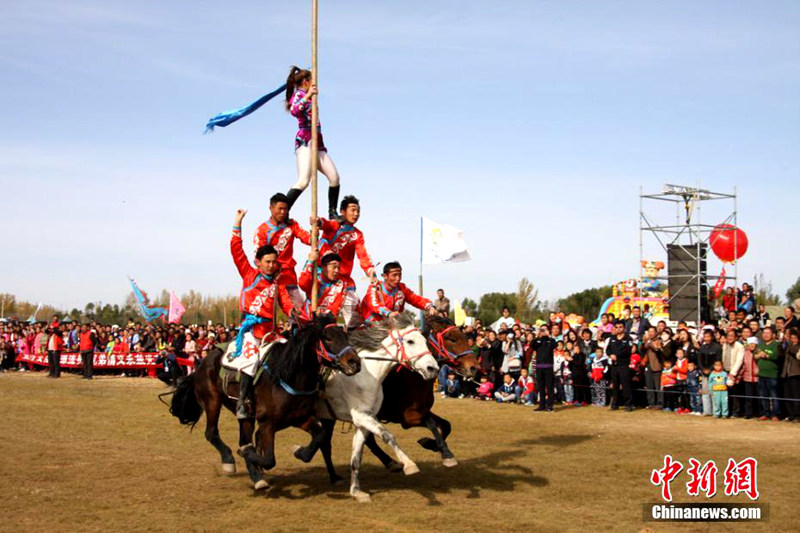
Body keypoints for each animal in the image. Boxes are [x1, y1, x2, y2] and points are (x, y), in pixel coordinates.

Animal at [166, 316, 360, 490]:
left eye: (346, 336)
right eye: (328, 338)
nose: (354, 362)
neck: (288, 376)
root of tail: (202, 362)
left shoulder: (300, 418)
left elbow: (319, 437)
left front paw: (299, 451)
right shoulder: (268, 424)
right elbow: (269, 459)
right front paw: (247, 454)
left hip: (246, 416)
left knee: (244, 438)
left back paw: (256, 475)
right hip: (212, 401)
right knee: (212, 433)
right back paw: (232, 461)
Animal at [310, 314, 440, 500]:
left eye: (425, 341)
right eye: (410, 341)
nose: (433, 368)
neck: (366, 375)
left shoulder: (364, 420)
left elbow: (356, 456)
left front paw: (356, 491)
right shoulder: (362, 416)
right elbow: (388, 436)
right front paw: (409, 464)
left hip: (327, 417)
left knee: (324, 443)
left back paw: (334, 476)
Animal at [318, 314, 482, 484]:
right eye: (452, 339)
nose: (475, 368)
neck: (411, 376)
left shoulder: (422, 410)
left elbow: (446, 425)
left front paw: (437, 447)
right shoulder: (407, 418)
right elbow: (431, 423)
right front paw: (435, 447)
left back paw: (390, 463)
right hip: (329, 416)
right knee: (325, 443)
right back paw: (335, 476)